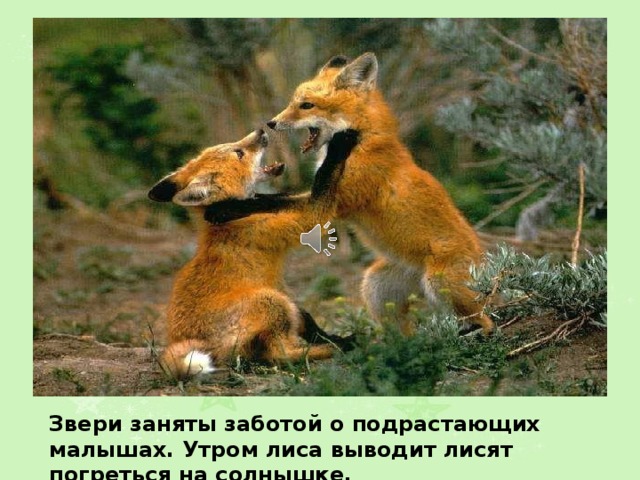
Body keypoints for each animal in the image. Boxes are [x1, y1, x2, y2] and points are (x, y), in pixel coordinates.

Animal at [148, 128, 359, 379]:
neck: (233, 222)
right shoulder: (306, 214)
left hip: (281, 300)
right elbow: (324, 180)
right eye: (239, 153)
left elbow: (309, 320)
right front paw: (340, 143)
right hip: (271, 301)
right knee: (277, 355)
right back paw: (337, 348)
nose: (261, 130)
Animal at [209, 53, 495, 335]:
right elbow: (269, 199)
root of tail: (486, 260)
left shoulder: (330, 203)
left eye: (306, 105)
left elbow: (270, 202)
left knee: (485, 321)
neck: (361, 140)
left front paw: (222, 209)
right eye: (294, 102)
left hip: (439, 283)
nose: (271, 123)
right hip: (376, 287)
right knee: (402, 333)